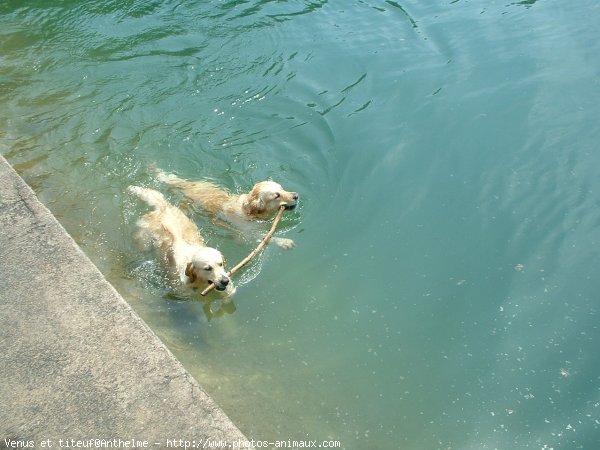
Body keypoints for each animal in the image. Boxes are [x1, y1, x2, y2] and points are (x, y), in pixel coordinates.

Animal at [156, 170, 300, 250]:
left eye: (282, 188)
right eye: (277, 195)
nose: (296, 195)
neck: (251, 213)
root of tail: (187, 185)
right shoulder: (246, 233)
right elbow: (266, 237)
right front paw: (284, 242)